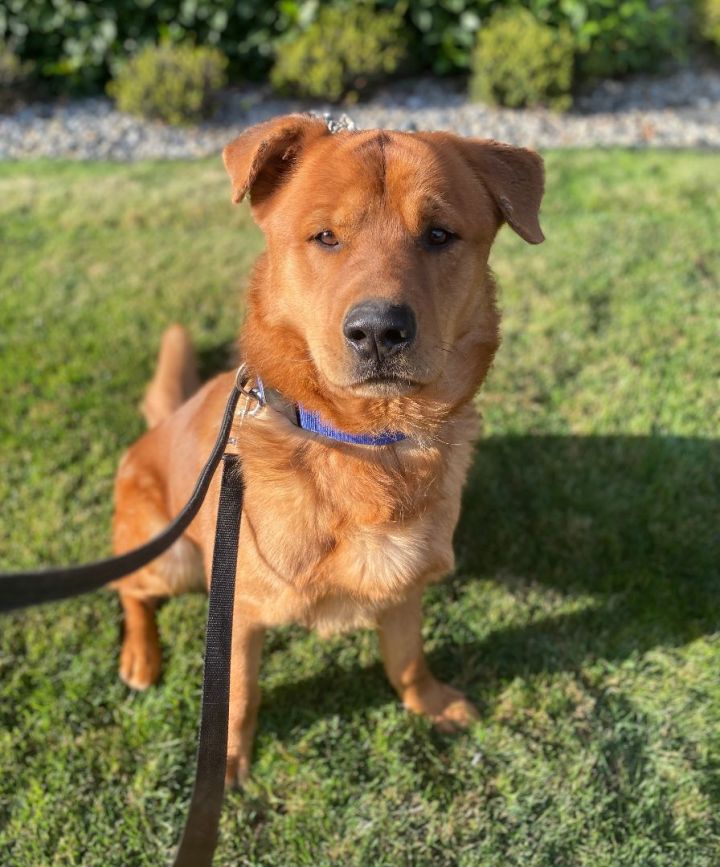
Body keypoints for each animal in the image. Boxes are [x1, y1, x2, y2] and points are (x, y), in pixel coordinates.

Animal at [109, 112, 544, 784]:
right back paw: (139, 654)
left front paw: (429, 702)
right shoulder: (236, 612)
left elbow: (407, 660)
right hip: (172, 557)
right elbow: (236, 697)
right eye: (325, 237)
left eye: (439, 234)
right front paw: (225, 762)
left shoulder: (404, 587)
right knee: (129, 591)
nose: (379, 331)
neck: (364, 441)